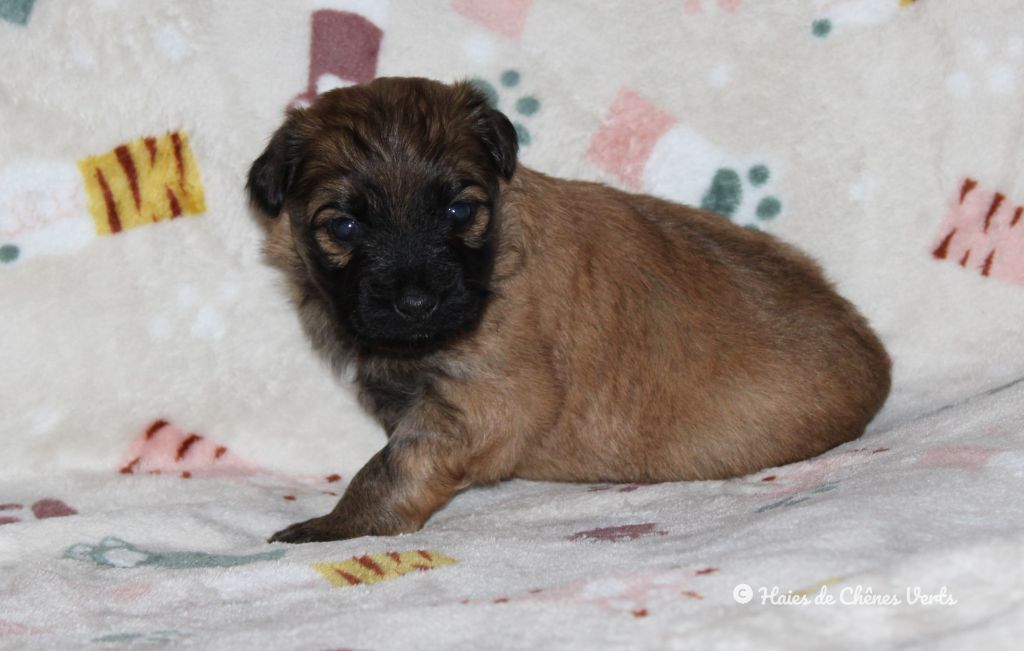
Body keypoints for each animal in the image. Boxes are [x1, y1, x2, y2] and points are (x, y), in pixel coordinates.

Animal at [247, 77, 888, 544]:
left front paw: (337, 525)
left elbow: (391, 466)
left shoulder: (489, 400)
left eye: (459, 211)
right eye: (345, 227)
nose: (417, 303)